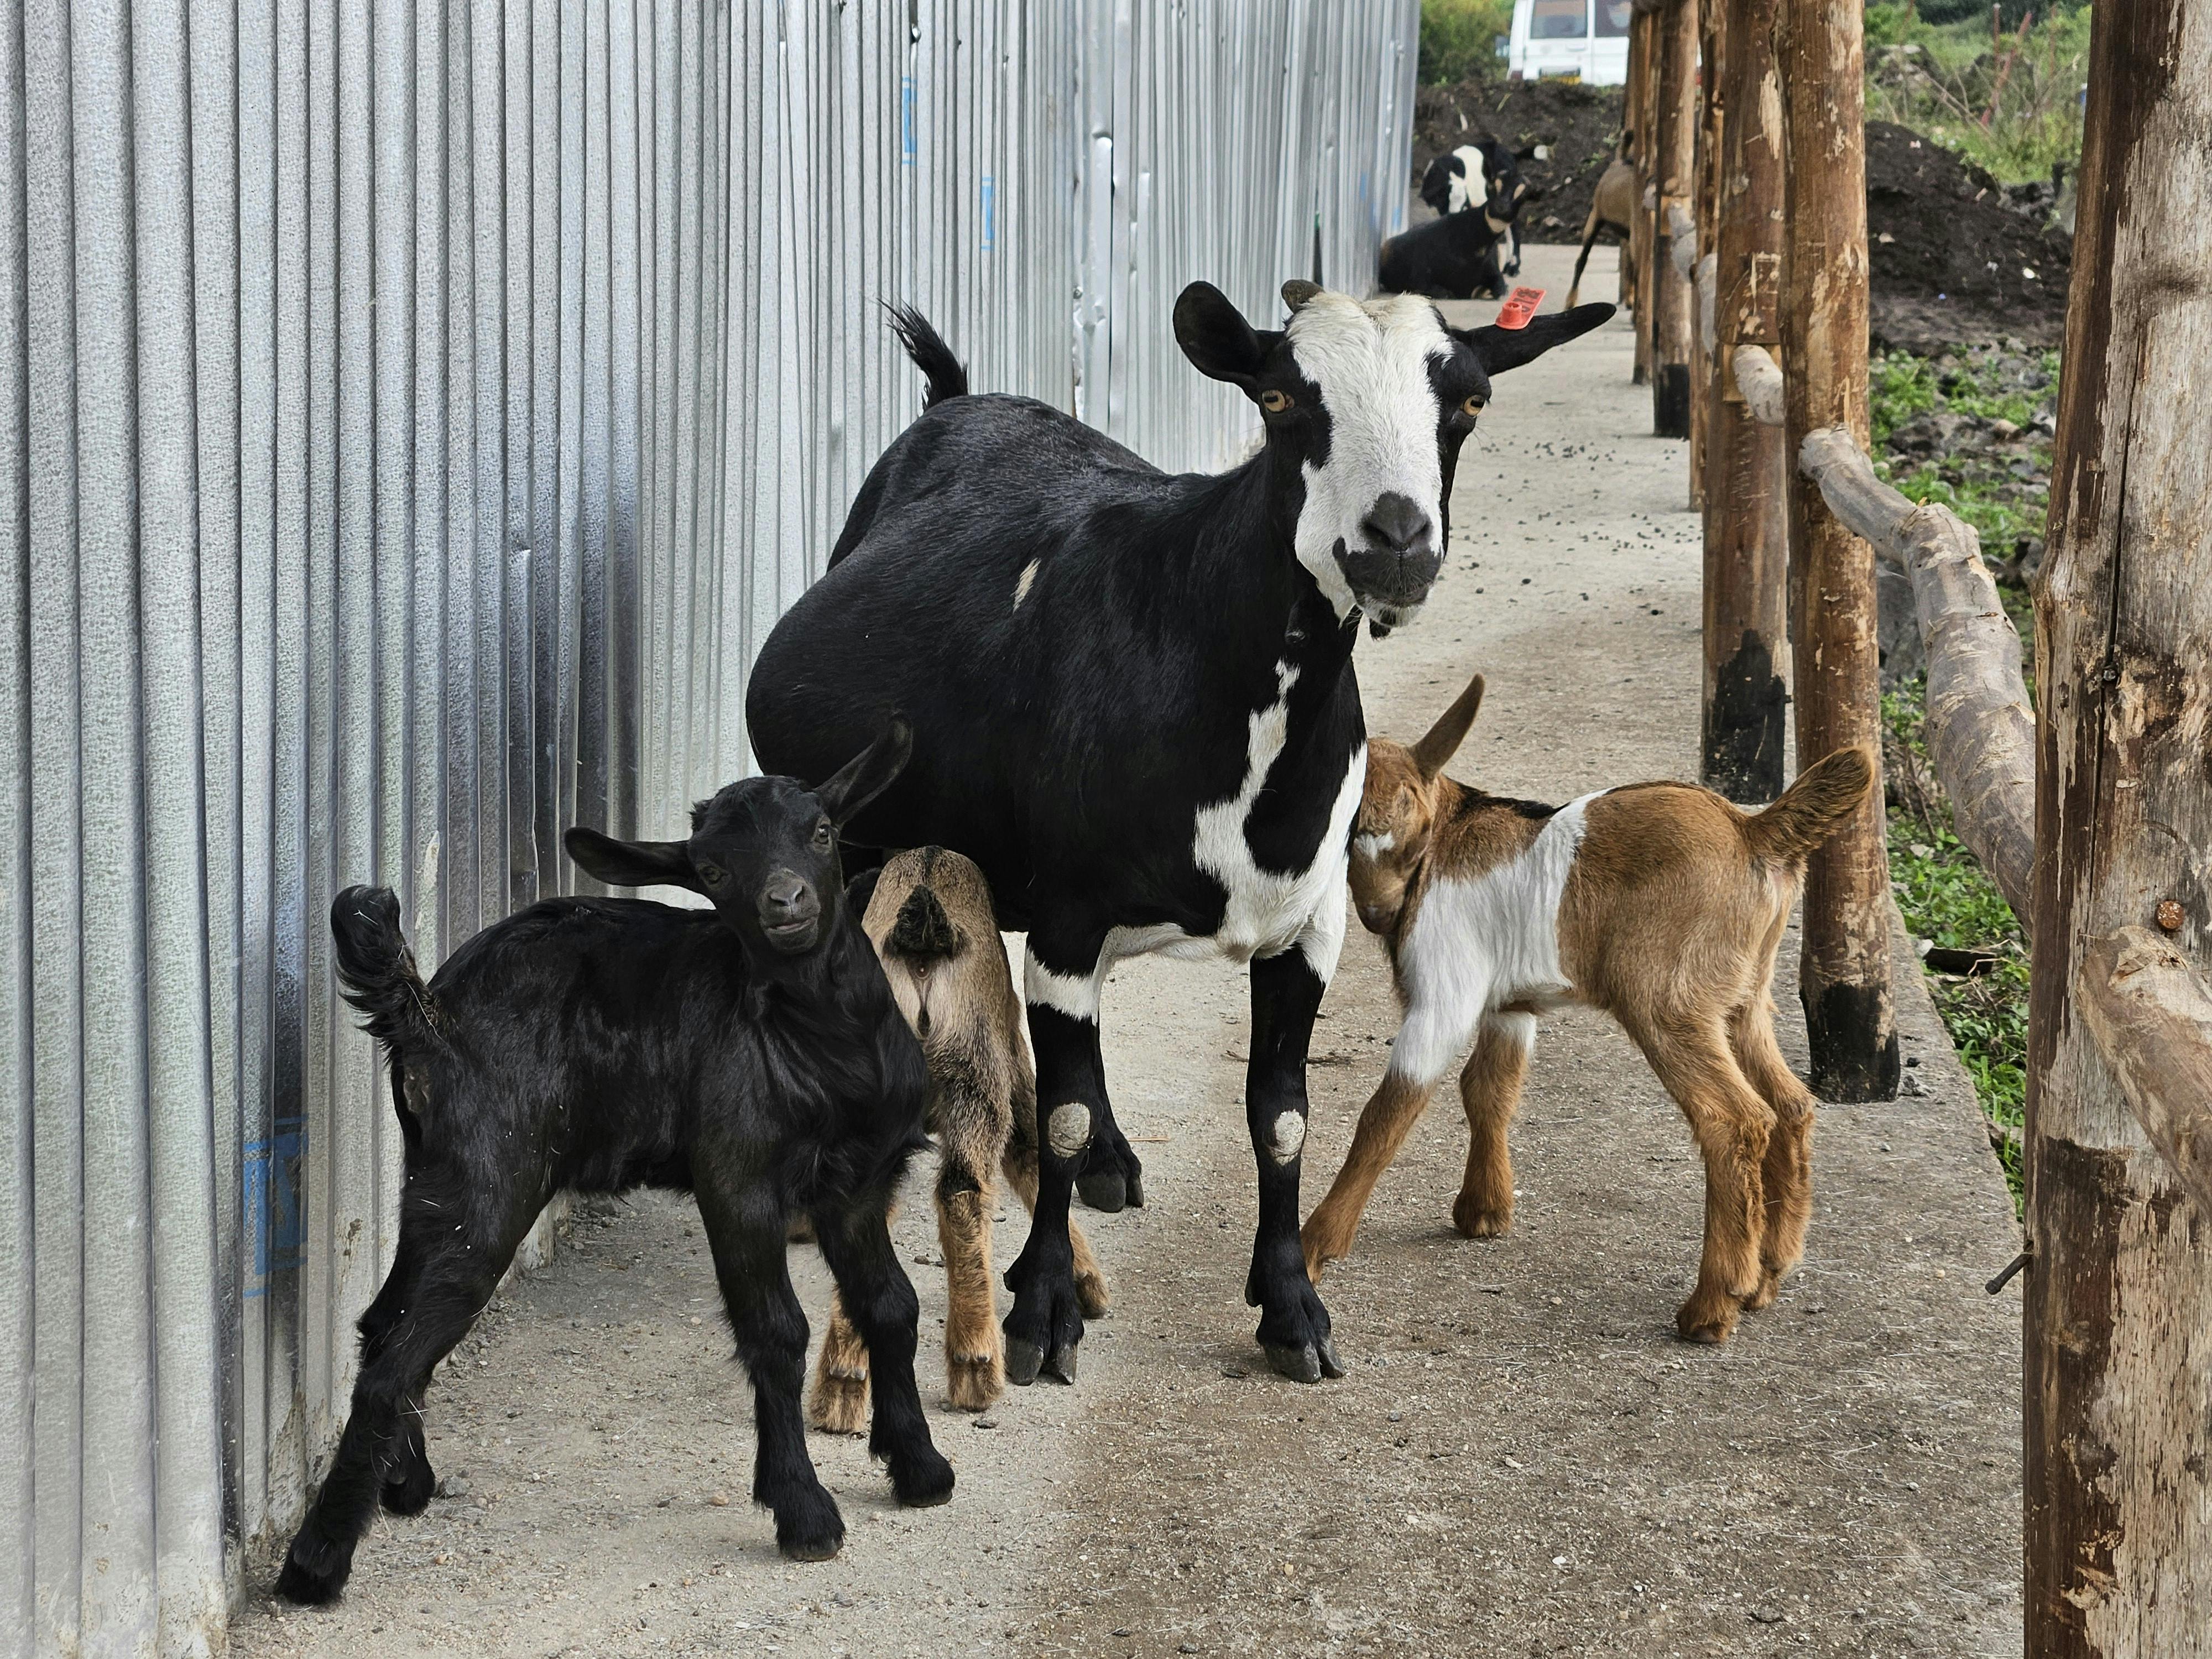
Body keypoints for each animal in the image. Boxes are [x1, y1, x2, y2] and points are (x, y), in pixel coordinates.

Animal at [274, 725, 954, 1603]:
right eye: (711, 871)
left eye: (823, 832)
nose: (786, 903)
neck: (820, 1044)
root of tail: (427, 1014)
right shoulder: (737, 1178)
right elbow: (777, 1332)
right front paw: (804, 1514)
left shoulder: (859, 1186)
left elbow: (892, 1306)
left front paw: (921, 1468)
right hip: (490, 1182)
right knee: (395, 1359)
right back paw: (316, 1564)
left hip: (437, 1180)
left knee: (385, 1322)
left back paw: (406, 1485)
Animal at [808, 846, 1111, 1425]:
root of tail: (924, 939)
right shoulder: (1012, 1063)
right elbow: (1033, 1154)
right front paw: (1086, 1282)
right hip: (977, 1074)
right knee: (963, 1191)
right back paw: (977, 1364)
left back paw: (842, 1381)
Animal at [1299, 674, 1874, 1345]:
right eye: (1346, 829)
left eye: (1405, 815)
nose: (1378, 912)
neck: (1446, 838)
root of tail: (1753, 832)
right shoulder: (1508, 1007)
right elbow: (1488, 1090)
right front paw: (1484, 1211)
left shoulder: (1444, 997)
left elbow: (1388, 1112)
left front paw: (1313, 1247)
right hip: (1741, 1000)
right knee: (1789, 1105)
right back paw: (1768, 1275)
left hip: (1667, 1001)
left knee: (1734, 1119)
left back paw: (1712, 1305)